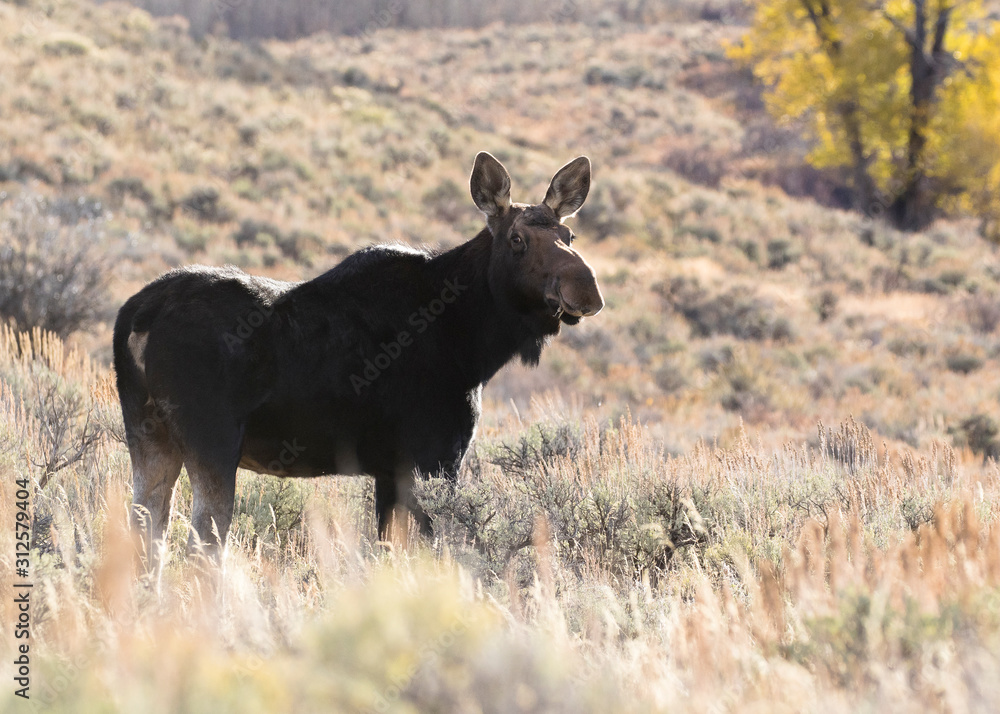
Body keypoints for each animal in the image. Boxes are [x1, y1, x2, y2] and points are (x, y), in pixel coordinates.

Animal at [113, 152, 604, 566]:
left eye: (570, 235)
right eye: (518, 239)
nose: (585, 287)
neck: (474, 345)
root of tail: (136, 315)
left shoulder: (391, 471)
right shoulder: (434, 459)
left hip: (150, 438)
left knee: (144, 539)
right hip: (212, 442)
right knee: (202, 550)